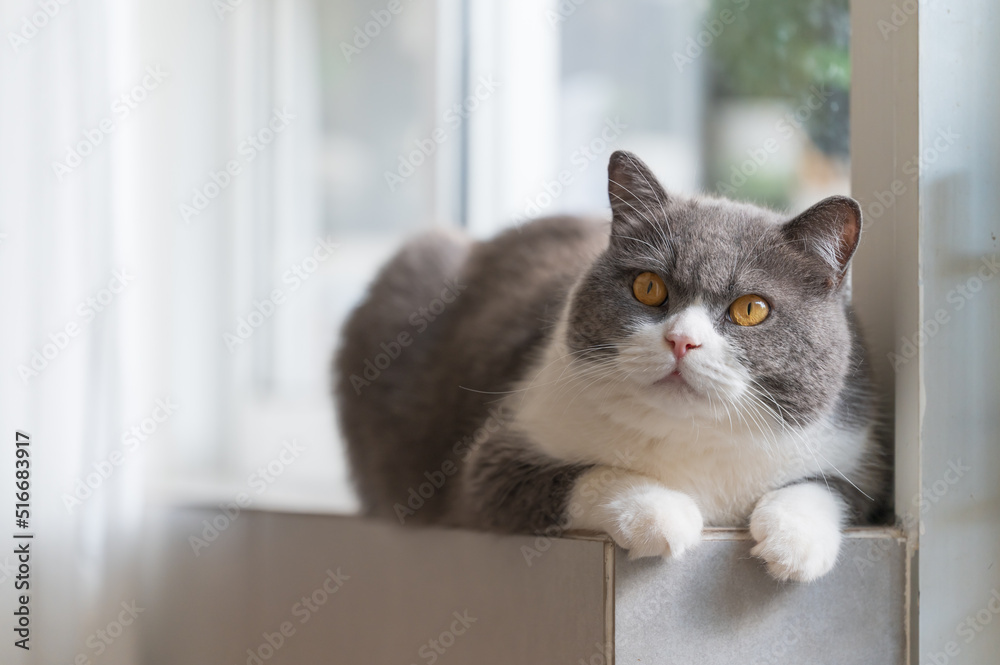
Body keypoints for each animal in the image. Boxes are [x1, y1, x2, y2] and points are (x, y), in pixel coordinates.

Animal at [338, 150, 892, 580]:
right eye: (648, 286)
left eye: (751, 309)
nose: (682, 341)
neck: (691, 438)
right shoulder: (490, 464)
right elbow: (582, 474)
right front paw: (661, 514)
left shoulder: (857, 450)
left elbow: (831, 488)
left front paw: (794, 544)